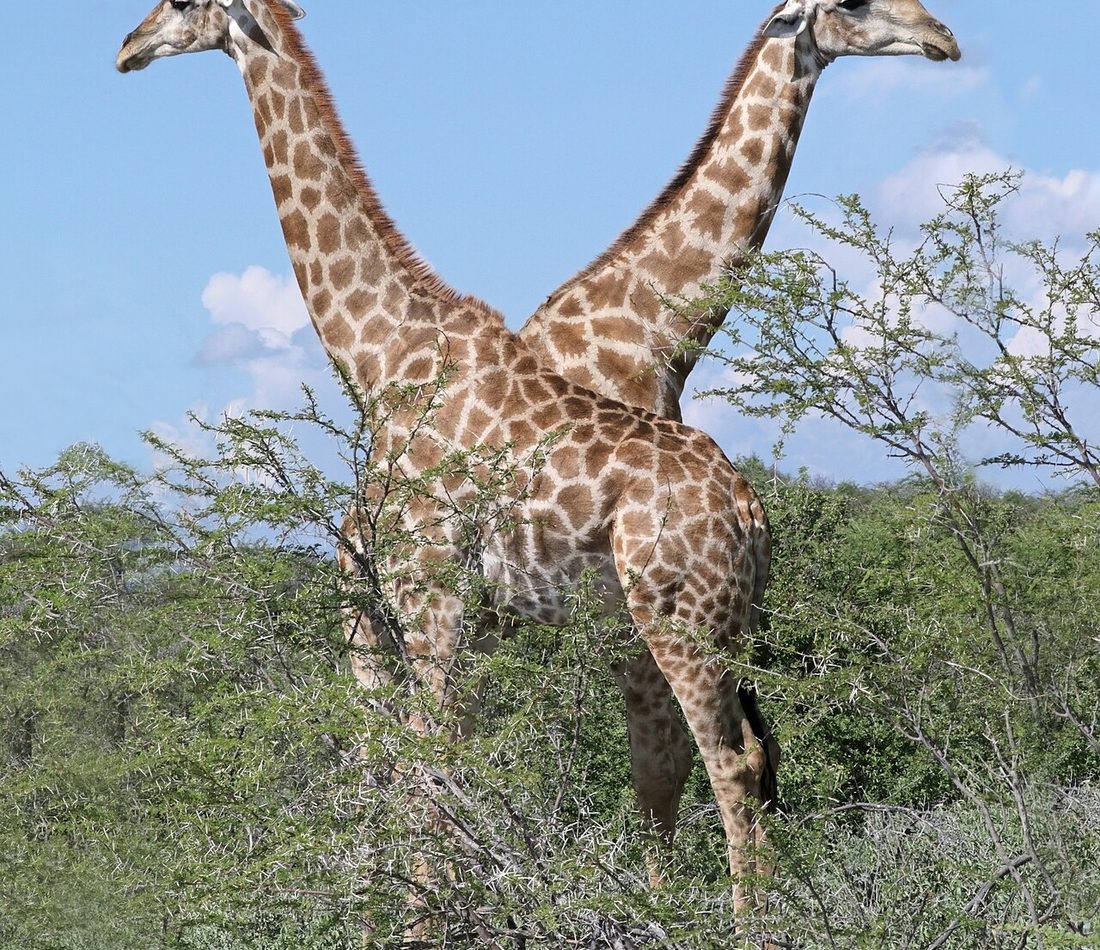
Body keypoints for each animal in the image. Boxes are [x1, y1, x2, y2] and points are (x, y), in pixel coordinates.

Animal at [117, 0, 778, 914]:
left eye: (181, 4)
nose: (127, 48)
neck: (382, 354)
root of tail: (749, 509)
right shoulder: (439, 617)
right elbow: (442, 770)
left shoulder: (427, 596)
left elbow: (431, 771)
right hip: (724, 622)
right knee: (743, 757)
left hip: (678, 617)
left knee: (726, 760)